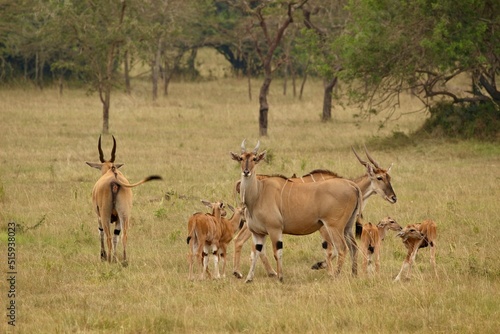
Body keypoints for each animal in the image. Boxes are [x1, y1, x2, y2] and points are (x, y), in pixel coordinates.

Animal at [86, 134, 162, 264]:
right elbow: (116, 236)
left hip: (105, 215)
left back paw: (109, 259)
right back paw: (124, 261)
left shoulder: (99, 217)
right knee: (123, 236)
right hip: (124, 215)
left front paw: (103, 256)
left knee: (108, 236)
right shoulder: (117, 219)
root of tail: (114, 181)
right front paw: (115, 257)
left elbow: (101, 233)